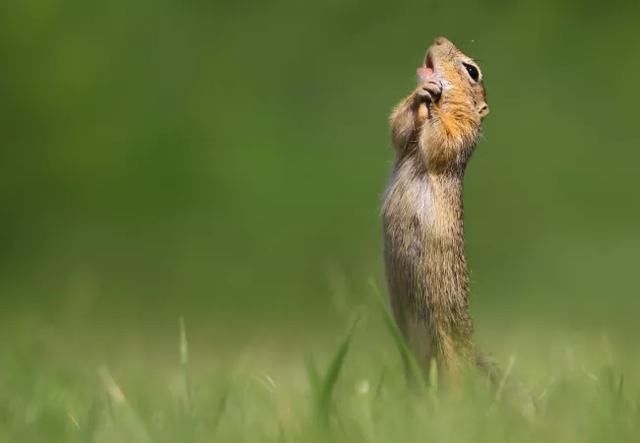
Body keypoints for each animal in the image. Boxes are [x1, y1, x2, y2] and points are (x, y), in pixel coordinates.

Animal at [382, 37, 488, 382]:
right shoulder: (405, 140)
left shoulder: (460, 132)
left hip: (450, 354)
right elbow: (399, 128)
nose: (439, 39)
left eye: (472, 71)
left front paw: (432, 97)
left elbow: (441, 139)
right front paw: (420, 94)